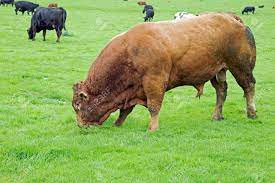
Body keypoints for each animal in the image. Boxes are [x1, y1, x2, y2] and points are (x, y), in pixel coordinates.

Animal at [72, 13, 258, 132]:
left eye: (77, 106)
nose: (80, 125)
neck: (128, 51)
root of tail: (232, 18)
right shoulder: (132, 88)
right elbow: (125, 110)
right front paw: (117, 124)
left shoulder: (153, 82)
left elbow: (154, 107)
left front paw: (152, 128)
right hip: (217, 72)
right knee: (222, 91)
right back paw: (217, 116)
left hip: (240, 67)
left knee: (248, 86)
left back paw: (252, 113)